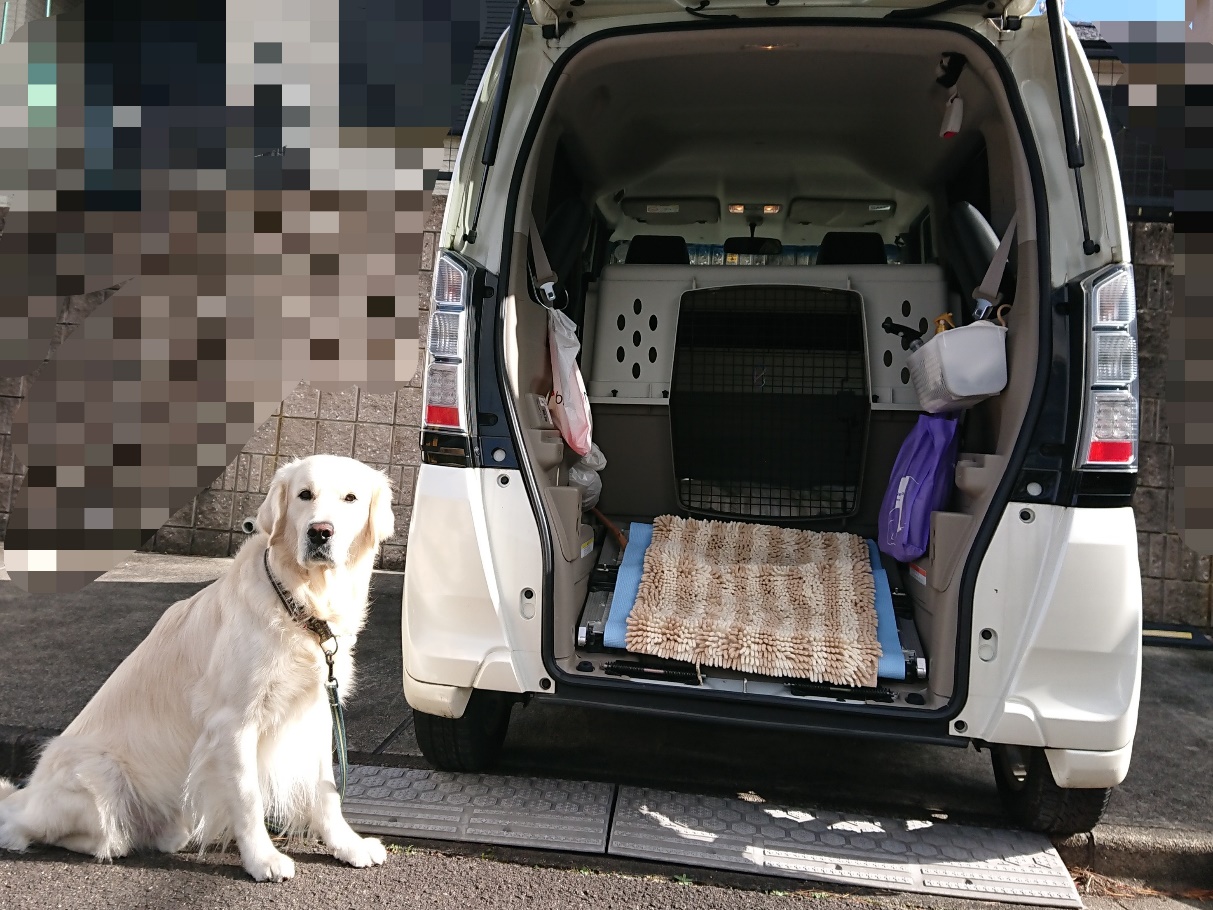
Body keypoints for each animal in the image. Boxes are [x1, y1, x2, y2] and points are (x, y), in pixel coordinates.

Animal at [0, 456, 393, 883]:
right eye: (305, 494)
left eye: (350, 498)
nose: (320, 532)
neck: (299, 601)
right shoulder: (233, 721)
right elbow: (248, 797)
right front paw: (262, 860)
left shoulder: (317, 711)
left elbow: (326, 791)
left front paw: (348, 846)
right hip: (99, 773)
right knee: (31, 830)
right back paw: (114, 842)